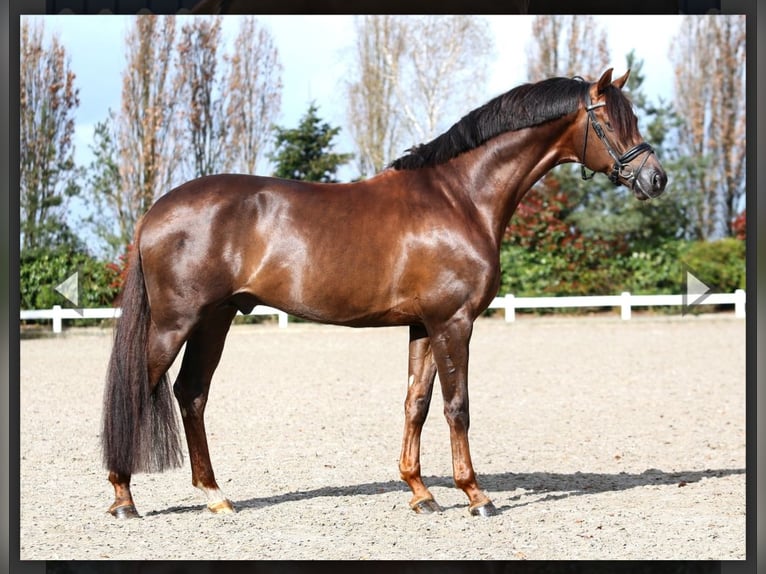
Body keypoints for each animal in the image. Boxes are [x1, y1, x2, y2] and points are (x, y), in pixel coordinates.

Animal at [101, 68, 666, 519]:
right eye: (609, 121)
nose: (655, 179)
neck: (459, 198)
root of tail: (155, 211)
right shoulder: (454, 322)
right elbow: (457, 406)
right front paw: (475, 495)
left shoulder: (423, 325)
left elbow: (416, 403)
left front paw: (421, 492)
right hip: (175, 323)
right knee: (138, 390)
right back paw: (124, 498)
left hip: (215, 319)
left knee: (192, 394)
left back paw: (216, 496)